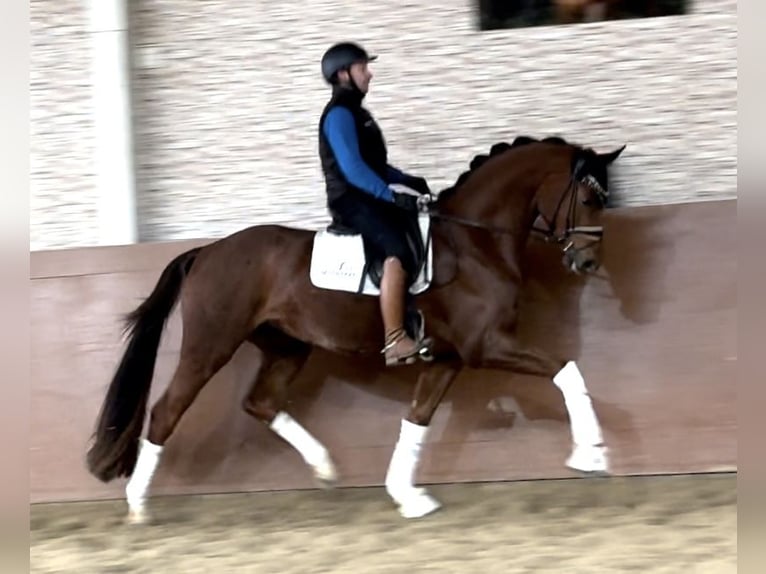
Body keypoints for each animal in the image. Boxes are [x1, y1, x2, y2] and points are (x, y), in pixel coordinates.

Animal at [85, 137, 624, 524]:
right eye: (588, 197)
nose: (588, 261)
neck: (476, 243)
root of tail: (207, 251)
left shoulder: (448, 357)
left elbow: (417, 419)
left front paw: (407, 497)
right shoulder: (486, 345)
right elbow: (566, 370)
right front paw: (592, 455)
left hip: (287, 347)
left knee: (260, 403)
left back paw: (325, 467)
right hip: (210, 345)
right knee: (166, 412)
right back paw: (139, 505)